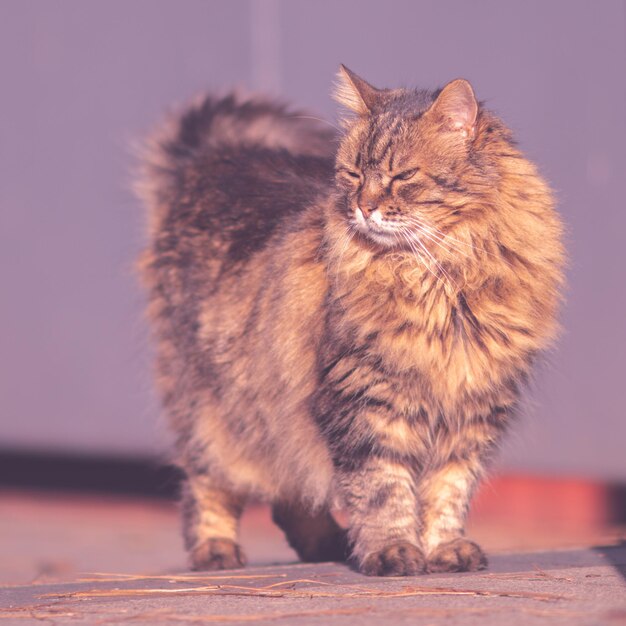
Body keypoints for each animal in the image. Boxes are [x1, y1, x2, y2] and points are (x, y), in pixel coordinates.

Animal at [138, 67, 564, 576]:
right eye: (354, 174)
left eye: (402, 176)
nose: (364, 206)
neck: (443, 283)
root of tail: (215, 159)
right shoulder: (365, 399)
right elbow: (383, 490)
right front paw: (393, 552)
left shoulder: (472, 409)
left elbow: (447, 491)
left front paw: (444, 549)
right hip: (216, 410)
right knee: (208, 483)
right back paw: (217, 551)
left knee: (292, 494)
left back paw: (328, 545)